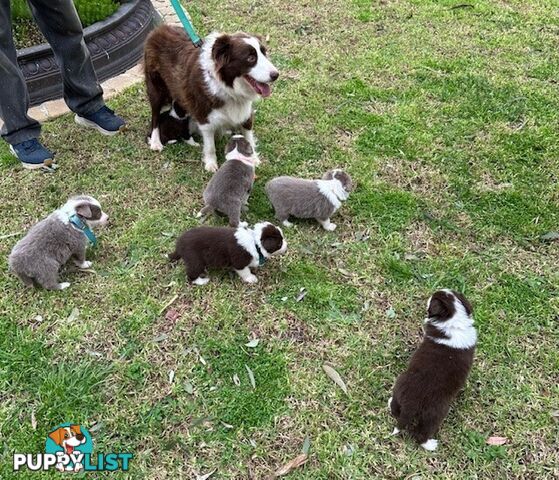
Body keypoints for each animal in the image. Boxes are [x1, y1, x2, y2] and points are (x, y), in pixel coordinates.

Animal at [142, 24, 278, 172]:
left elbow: (248, 135)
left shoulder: (245, 112)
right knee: (155, 117)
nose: (276, 75)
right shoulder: (204, 117)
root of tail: (157, 29)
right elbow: (210, 145)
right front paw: (211, 164)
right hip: (156, 89)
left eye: (264, 53)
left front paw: (254, 159)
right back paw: (155, 141)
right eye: (251, 58)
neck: (228, 87)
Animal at [390, 290, 476, 452]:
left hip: (404, 387)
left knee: (400, 415)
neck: (454, 319)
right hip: (433, 414)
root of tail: (411, 404)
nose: (428, 296)